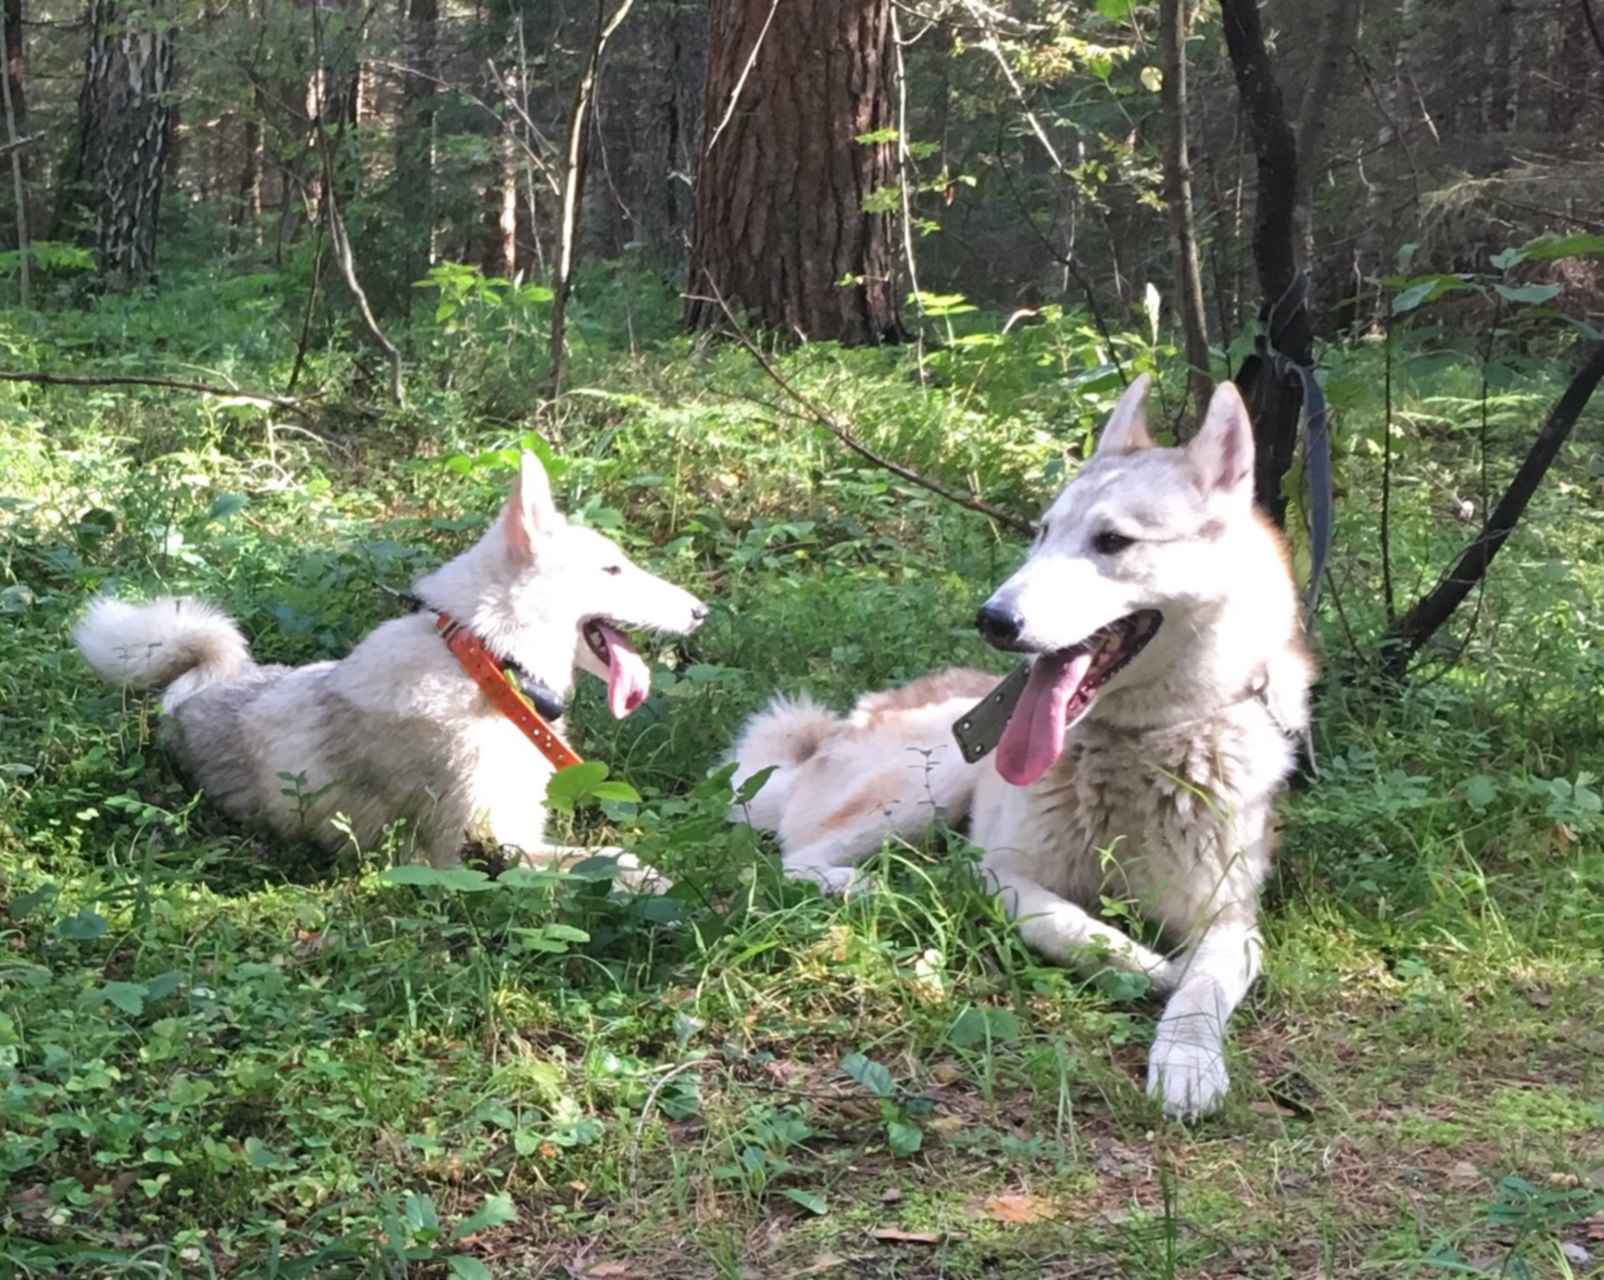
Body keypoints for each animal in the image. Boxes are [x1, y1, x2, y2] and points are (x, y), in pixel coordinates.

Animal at [734, 381, 1321, 1122]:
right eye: (1042, 533)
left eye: (1111, 541)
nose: (992, 619)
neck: (1133, 748)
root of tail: (847, 721)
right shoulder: (998, 875)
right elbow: (1070, 924)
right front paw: (1145, 965)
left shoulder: (1232, 920)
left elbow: (1204, 987)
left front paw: (1188, 1061)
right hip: (938, 770)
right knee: (799, 856)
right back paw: (881, 885)